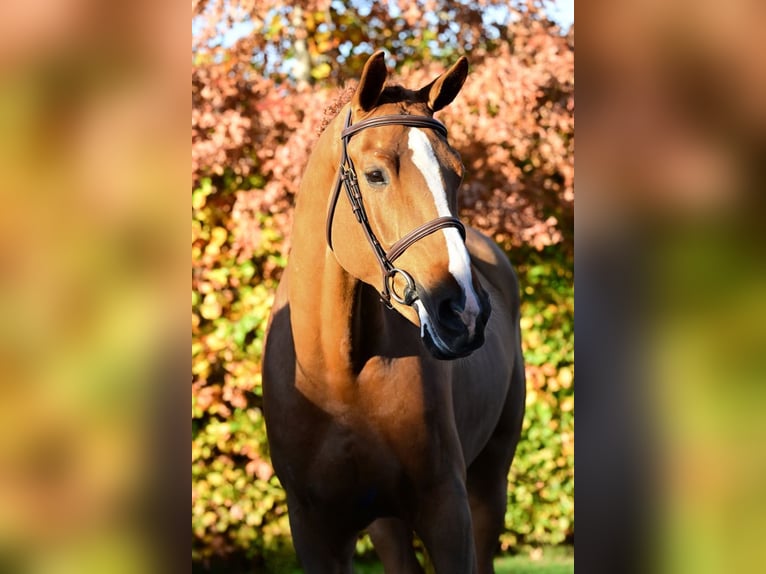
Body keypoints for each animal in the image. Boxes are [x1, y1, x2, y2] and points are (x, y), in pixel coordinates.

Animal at [262, 50, 526, 574]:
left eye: (457, 173)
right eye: (375, 174)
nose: (463, 310)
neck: (339, 372)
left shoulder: (448, 513)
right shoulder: (315, 530)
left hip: (490, 482)